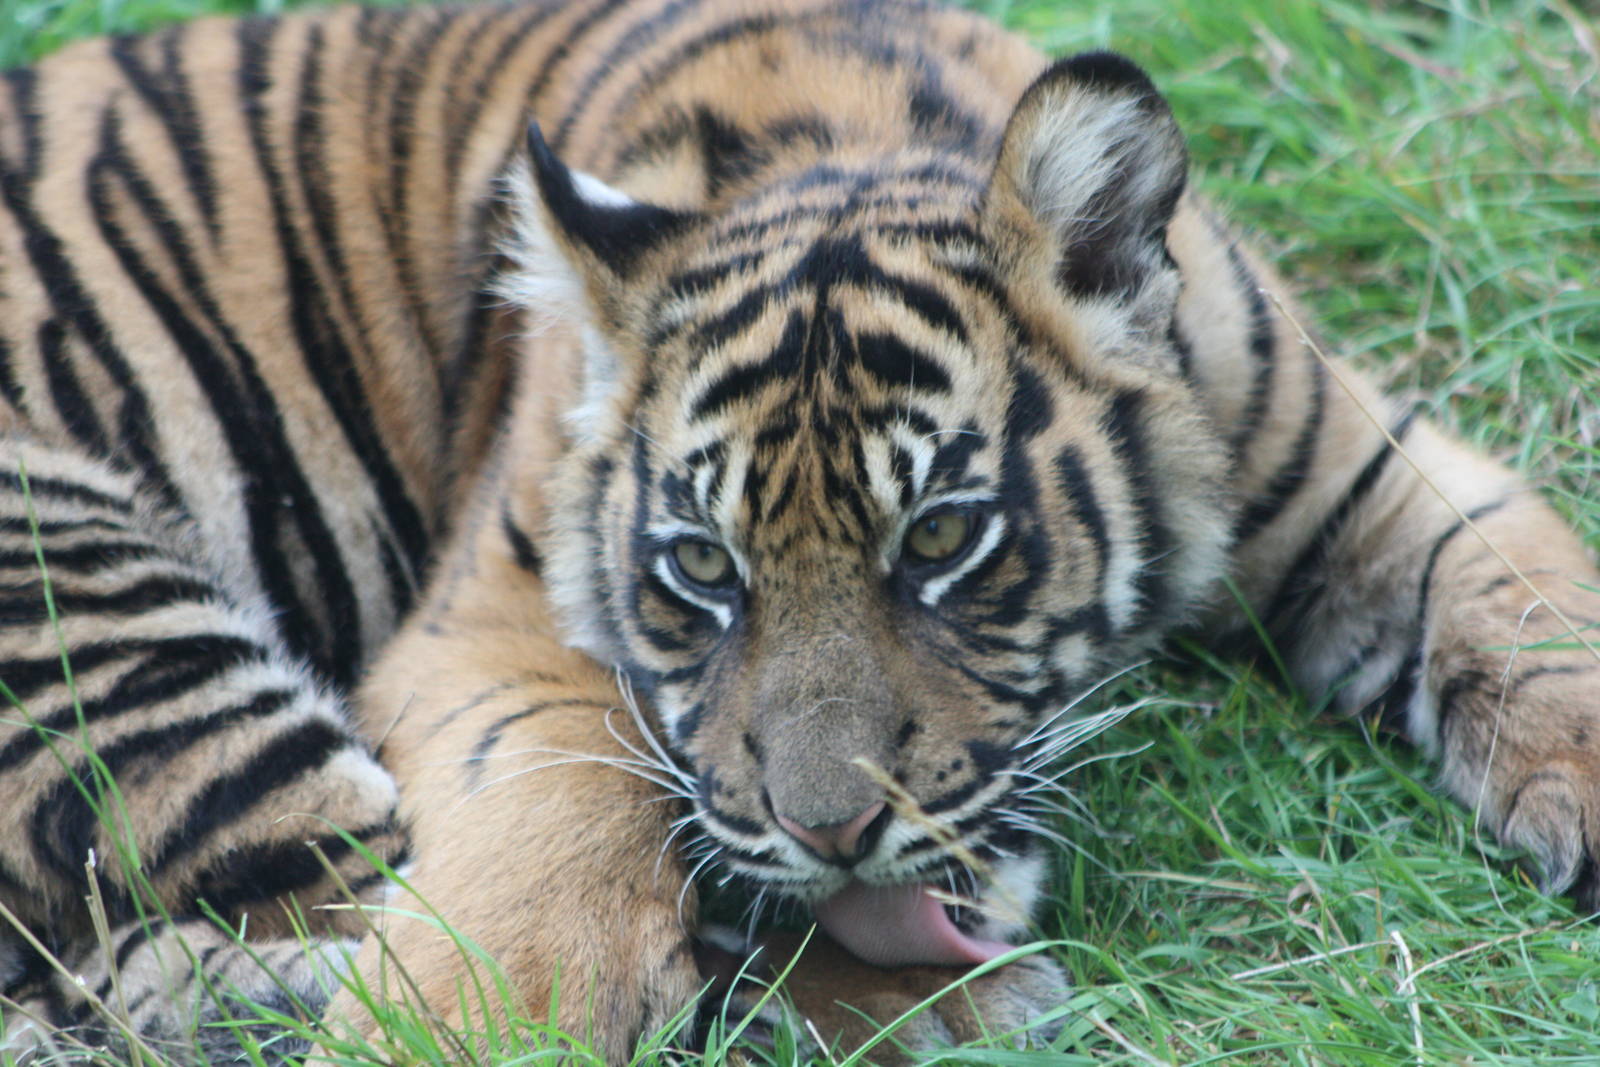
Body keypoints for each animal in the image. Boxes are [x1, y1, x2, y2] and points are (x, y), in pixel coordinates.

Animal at [0, 0, 1597, 1062]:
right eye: (702, 567)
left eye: (942, 538)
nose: (831, 831)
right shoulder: (488, 613)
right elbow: (555, 788)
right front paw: (489, 1024)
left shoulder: (1365, 461)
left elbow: (1526, 598)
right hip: (106, 624)